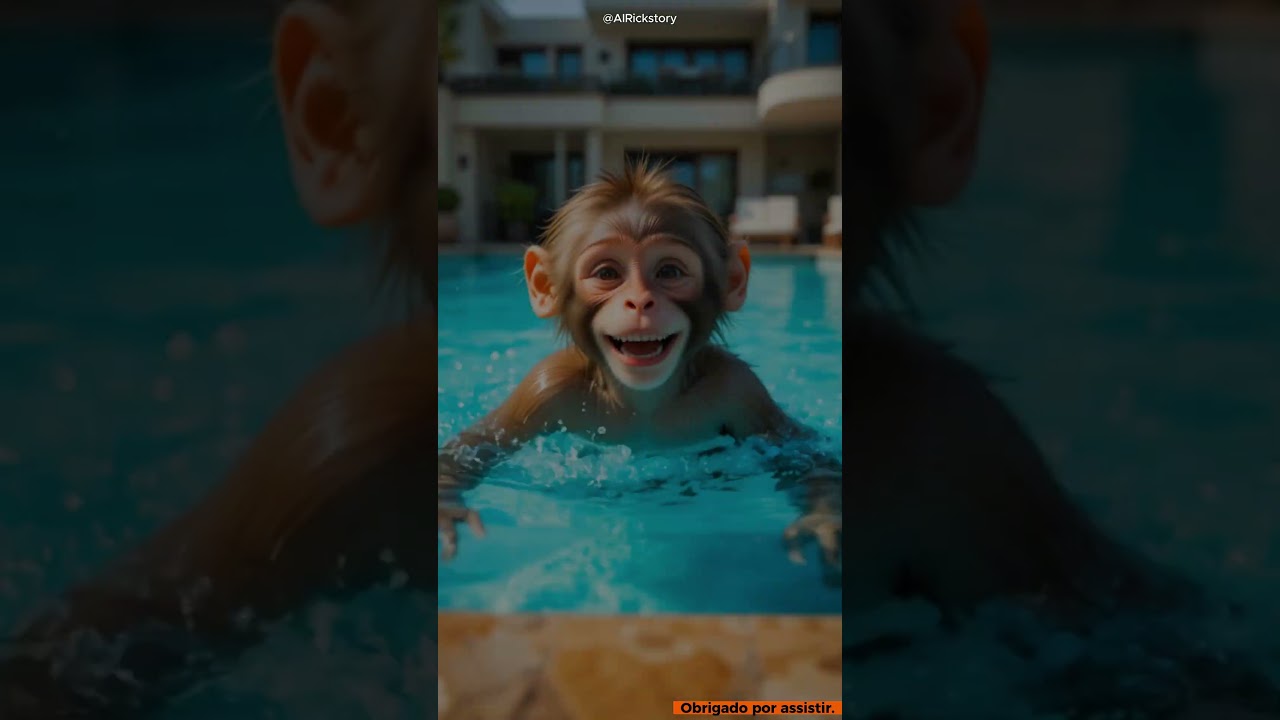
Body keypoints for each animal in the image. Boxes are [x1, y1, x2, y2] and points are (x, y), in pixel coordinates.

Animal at [436, 160, 843, 569]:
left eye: (669, 271)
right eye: (606, 273)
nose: (640, 301)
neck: (643, 397)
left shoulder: (740, 387)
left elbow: (799, 453)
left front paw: (823, 521)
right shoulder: (544, 385)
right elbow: (478, 444)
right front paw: (446, 510)